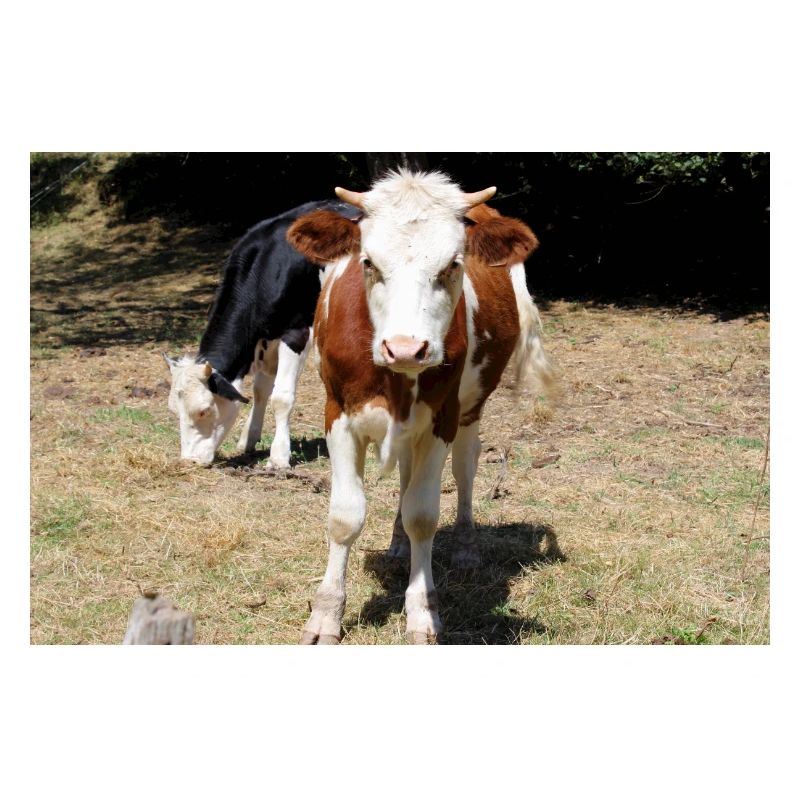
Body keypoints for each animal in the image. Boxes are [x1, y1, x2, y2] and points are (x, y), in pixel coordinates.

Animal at [163, 200, 359, 466]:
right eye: (174, 409)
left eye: (203, 410)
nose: (189, 461)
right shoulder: (265, 340)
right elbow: (260, 390)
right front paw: (248, 438)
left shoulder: (296, 333)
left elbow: (281, 396)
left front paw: (278, 456)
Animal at [286, 170, 553, 644]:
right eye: (368, 262)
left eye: (453, 264)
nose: (406, 348)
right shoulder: (337, 414)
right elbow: (345, 517)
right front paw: (325, 616)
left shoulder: (441, 419)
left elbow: (424, 516)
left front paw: (422, 613)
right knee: (406, 475)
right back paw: (396, 545)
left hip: (470, 409)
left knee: (464, 469)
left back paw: (465, 548)